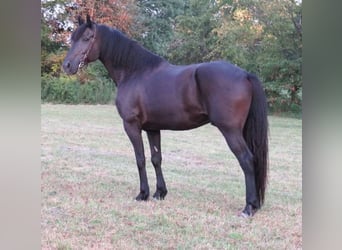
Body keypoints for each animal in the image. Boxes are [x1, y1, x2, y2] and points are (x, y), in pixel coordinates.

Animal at [62, 14, 268, 217]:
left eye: (87, 38)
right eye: (72, 38)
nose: (67, 65)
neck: (134, 72)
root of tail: (245, 74)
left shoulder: (131, 125)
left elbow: (140, 159)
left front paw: (142, 194)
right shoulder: (153, 128)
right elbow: (156, 159)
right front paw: (160, 193)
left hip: (230, 130)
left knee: (247, 160)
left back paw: (249, 207)